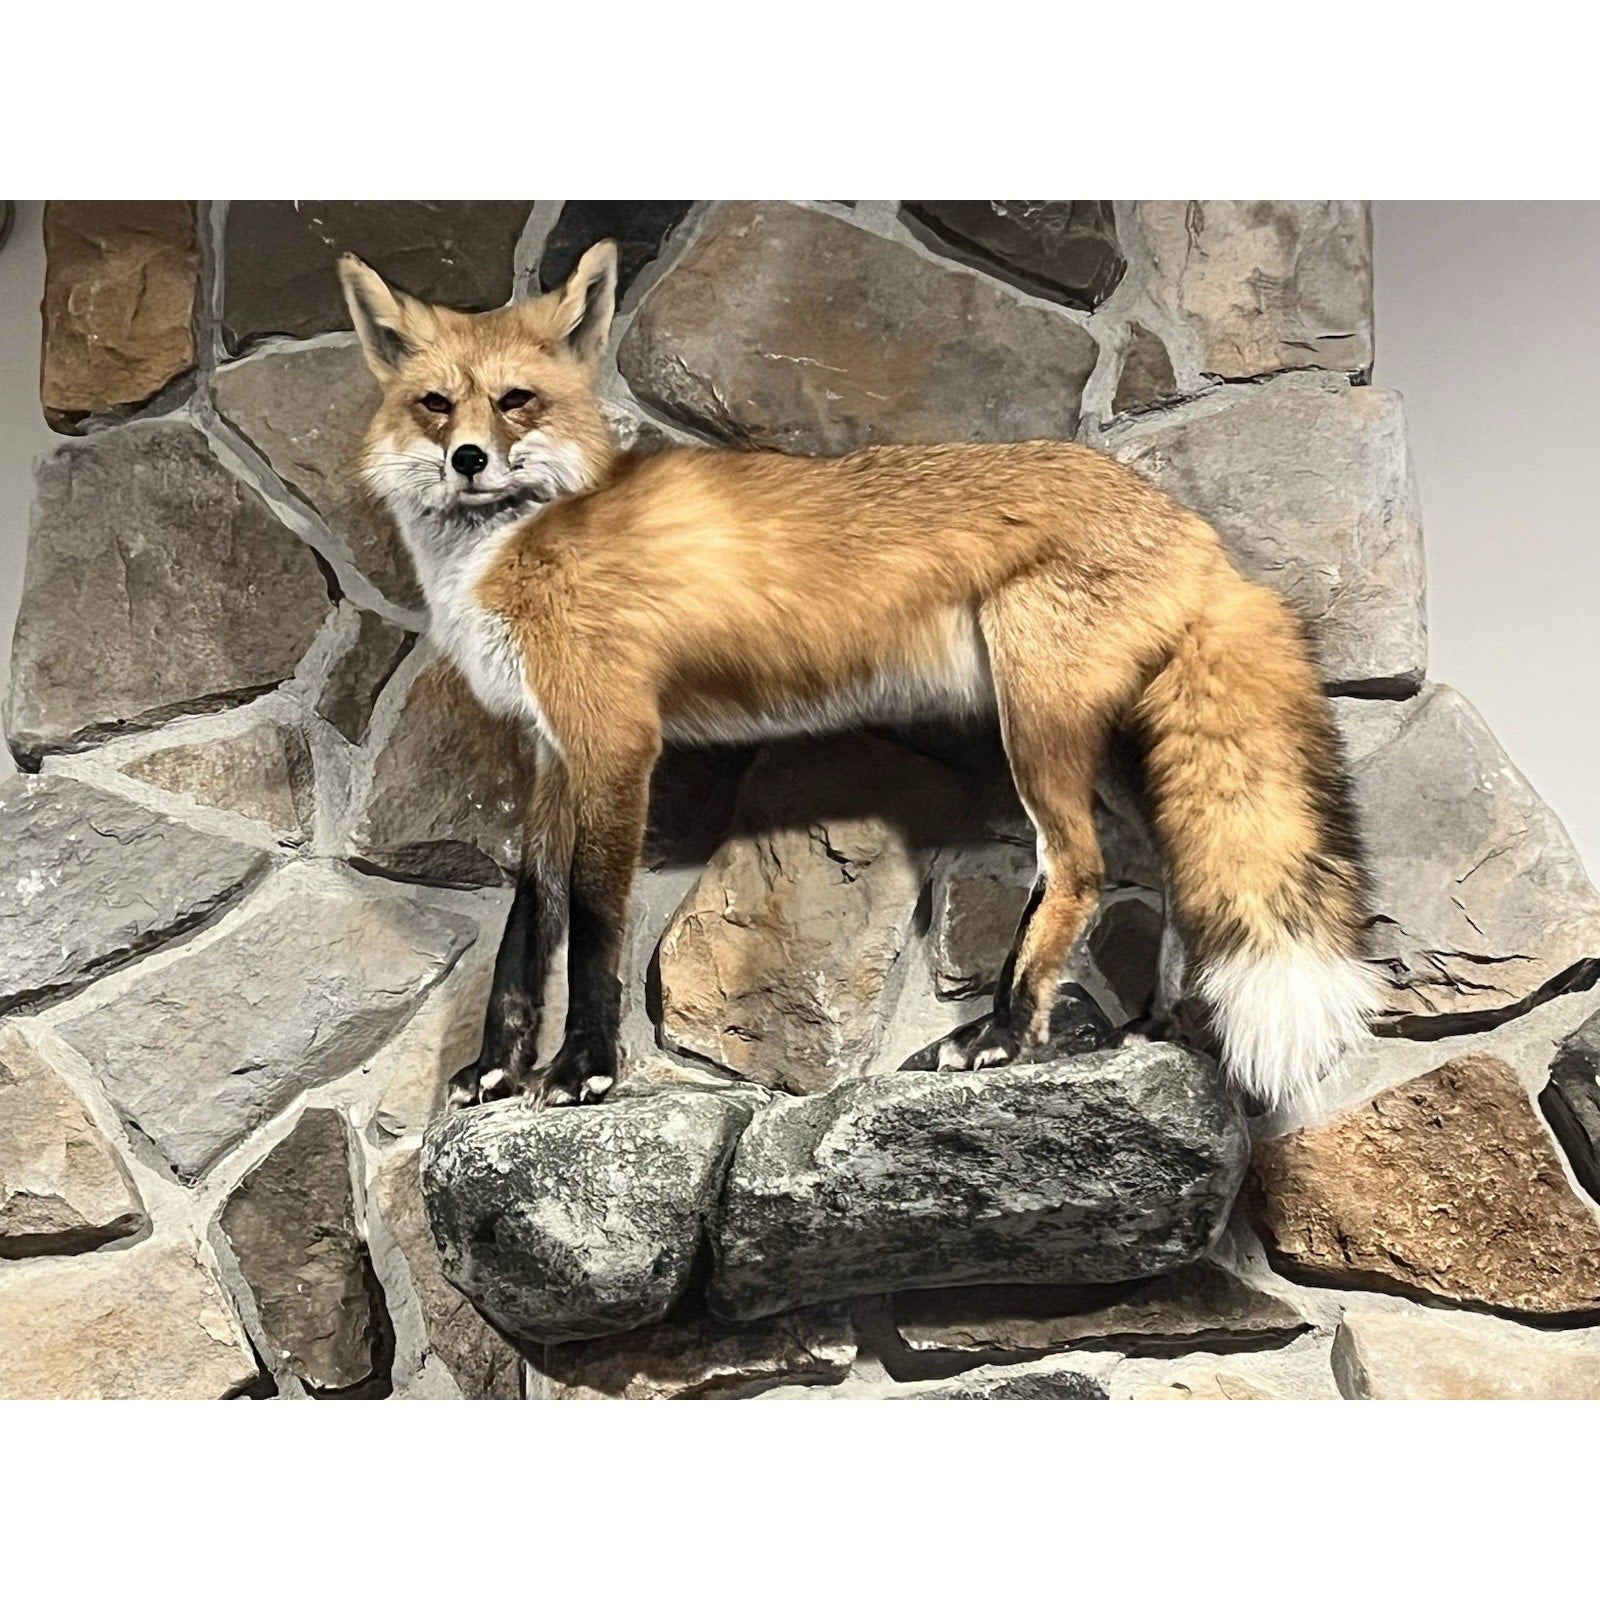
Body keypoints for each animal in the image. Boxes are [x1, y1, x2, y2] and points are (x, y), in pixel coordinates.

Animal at [339, 238, 1377, 1116]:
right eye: (436, 404)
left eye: (516, 400)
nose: (468, 459)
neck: (514, 541)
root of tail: (1198, 529)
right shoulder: (551, 749)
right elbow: (529, 922)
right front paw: (496, 1070)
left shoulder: (614, 742)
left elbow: (594, 923)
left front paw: (584, 1070)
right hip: (1113, 749)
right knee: (1170, 871)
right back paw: (1152, 1027)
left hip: (1036, 725)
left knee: (1080, 870)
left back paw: (1003, 1036)